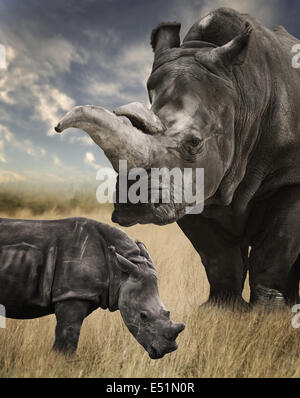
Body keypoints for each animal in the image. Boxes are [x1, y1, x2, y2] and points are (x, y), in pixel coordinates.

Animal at [0, 216, 185, 360]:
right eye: (143, 316)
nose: (168, 349)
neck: (119, 271)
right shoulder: (73, 293)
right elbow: (67, 338)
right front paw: (60, 364)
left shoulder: (83, 293)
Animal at [55, 8, 300, 308]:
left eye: (194, 143)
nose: (135, 204)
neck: (242, 95)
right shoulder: (189, 188)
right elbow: (217, 256)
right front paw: (222, 309)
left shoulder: (290, 176)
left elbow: (276, 247)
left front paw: (265, 313)